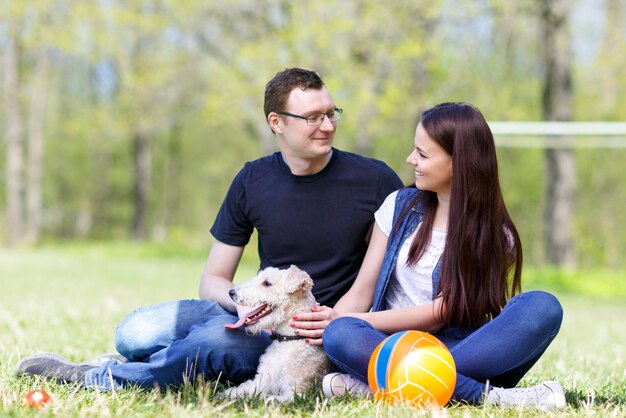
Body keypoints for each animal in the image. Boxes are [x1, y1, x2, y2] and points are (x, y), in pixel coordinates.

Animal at [223, 264, 332, 402]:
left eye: (267, 283)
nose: (231, 292)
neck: (287, 339)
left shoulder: (296, 393)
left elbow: (268, 398)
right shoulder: (262, 380)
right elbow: (246, 388)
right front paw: (228, 394)